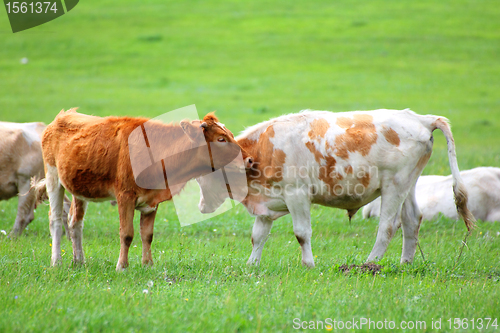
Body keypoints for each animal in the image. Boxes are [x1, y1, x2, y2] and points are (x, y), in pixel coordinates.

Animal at [196, 109, 476, 268]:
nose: (201, 206)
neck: (262, 150)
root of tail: (421, 119)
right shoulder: (266, 205)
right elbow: (258, 236)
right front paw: (252, 265)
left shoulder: (297, 195)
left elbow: (302, 233)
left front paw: (308, 264)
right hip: (409, 184)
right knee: (411, 220)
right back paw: (405, 263)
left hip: (394, 186)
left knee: (388, 226)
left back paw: (369, 264)